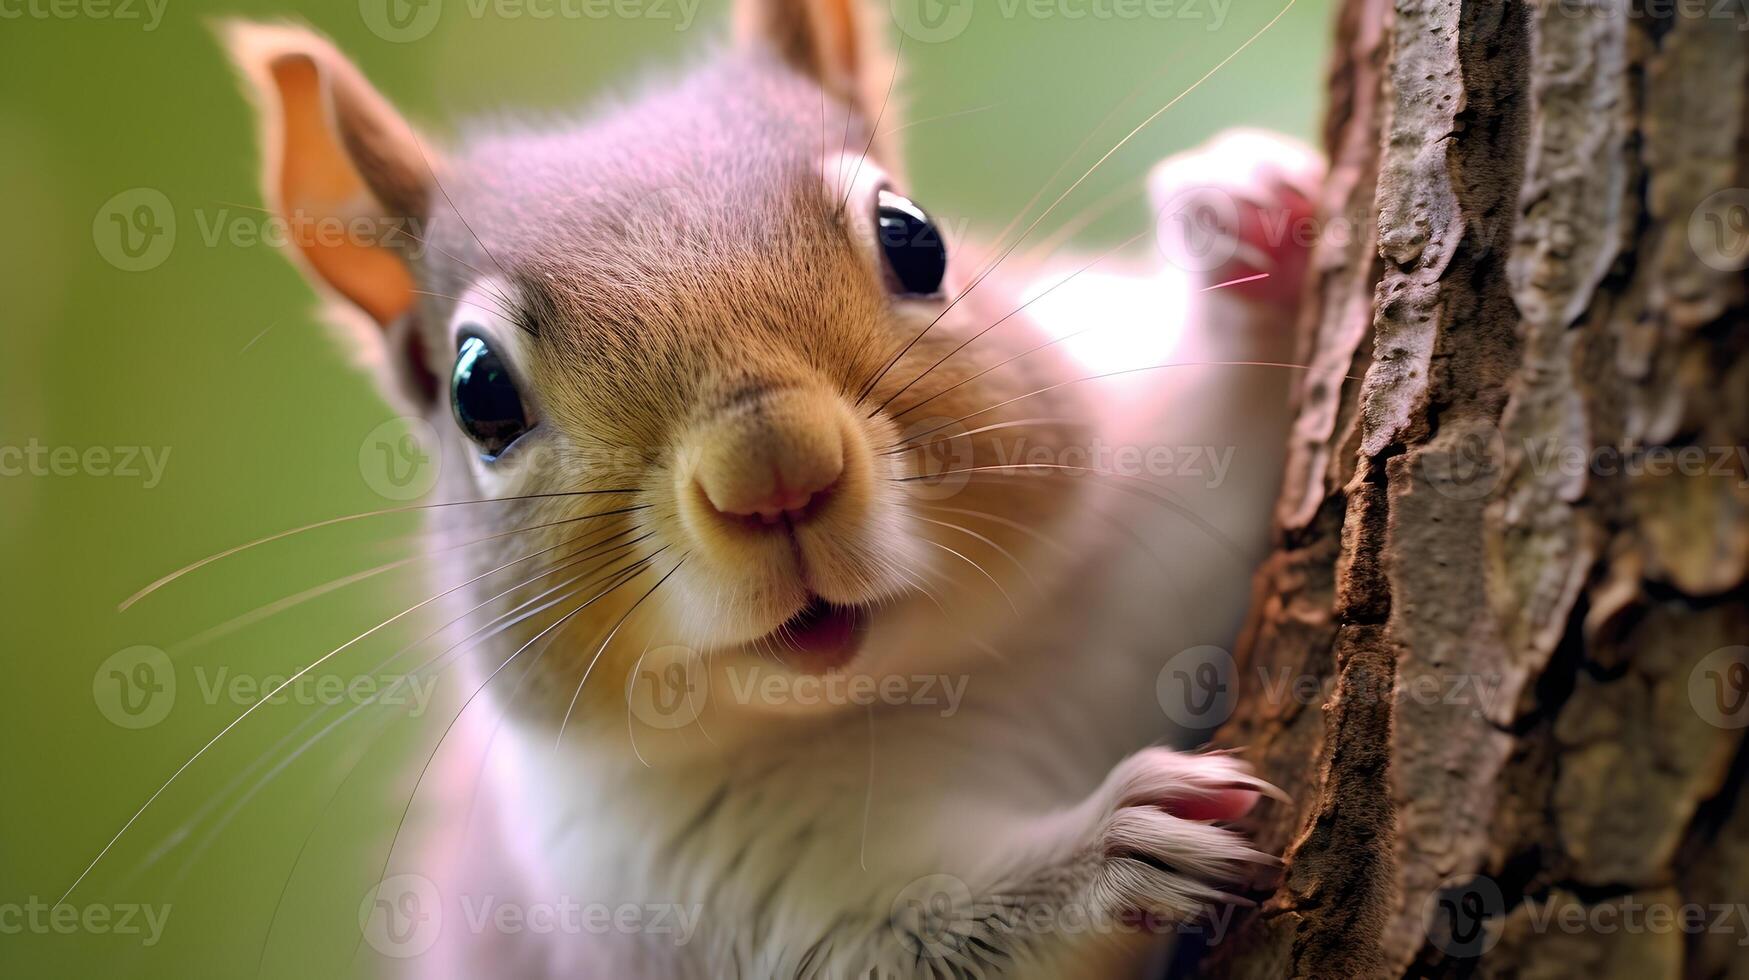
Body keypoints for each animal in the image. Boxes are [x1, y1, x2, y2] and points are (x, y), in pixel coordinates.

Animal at [215, 5, 1315, 973]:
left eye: (913, 237)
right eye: (477, 390)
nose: (771, 470)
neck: (922, 680)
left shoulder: (1145, 544)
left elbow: (1233, 451)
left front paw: (1247, 218)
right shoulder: (697, 893)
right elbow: (920, 940)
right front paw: (1122, 848)